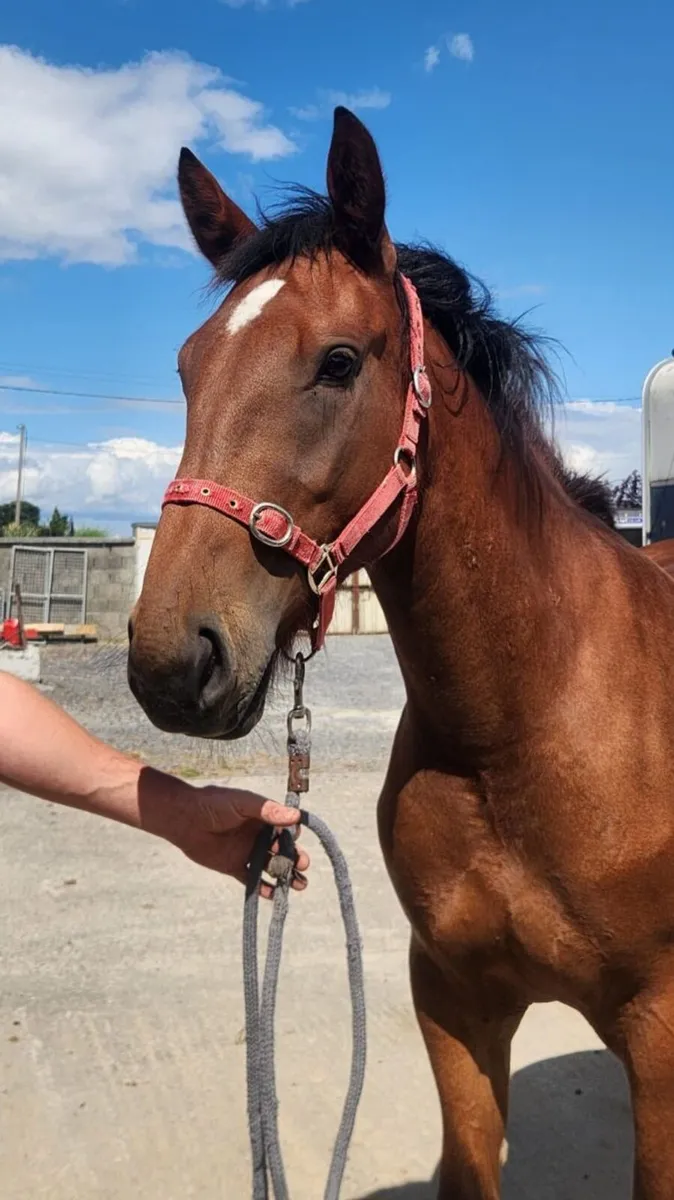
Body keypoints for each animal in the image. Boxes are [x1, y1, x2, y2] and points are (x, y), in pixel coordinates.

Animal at [128, 107, 674, 1199]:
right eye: (186, 367)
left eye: (339, 361)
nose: (172, 660)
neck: (519, 732)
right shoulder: (453, 1000)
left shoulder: (661, 1034)